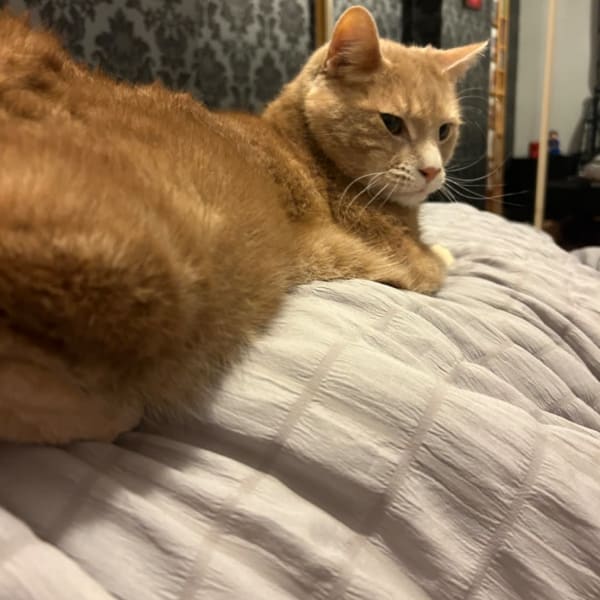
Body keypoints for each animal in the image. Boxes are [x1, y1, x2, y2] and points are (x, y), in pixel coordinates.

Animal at [0, 6, 485, 444]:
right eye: (391, 123)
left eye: (444, 131)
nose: (432, 171)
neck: (305, 149)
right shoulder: (392, 259)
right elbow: (436, 263)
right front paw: (445, 251)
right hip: (151, 263)